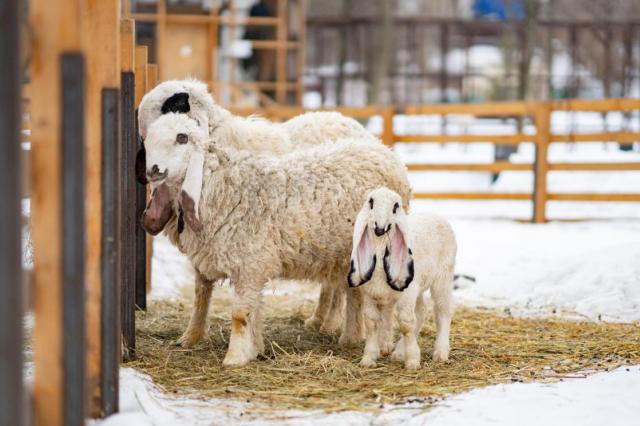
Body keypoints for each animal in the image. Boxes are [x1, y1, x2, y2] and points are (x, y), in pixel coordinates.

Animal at [140, 113, 410, 366]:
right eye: (147, 139)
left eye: (182, 138)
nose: (153, 170)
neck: (223, 188)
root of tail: (385, 152)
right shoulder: (240, 263)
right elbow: (230, 306)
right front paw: (252, 348)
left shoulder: (249, 263)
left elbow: (240, 314)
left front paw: (235, 357)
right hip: (348, 255)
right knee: (354, 293)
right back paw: (351, 337)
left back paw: (381, 343)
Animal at [350, 186, 456, 370]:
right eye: (371, 202)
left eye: (395, 206)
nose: (380, 229)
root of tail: (436, 215)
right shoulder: (369, 293)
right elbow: (371, 323)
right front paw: (368, 358)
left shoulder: (407, 292)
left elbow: (406, 324)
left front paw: (412, 361)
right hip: (418, 285)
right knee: (421, 311)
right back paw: (399, 353)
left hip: (443, 275)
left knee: (443, 311)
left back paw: (440, 352)